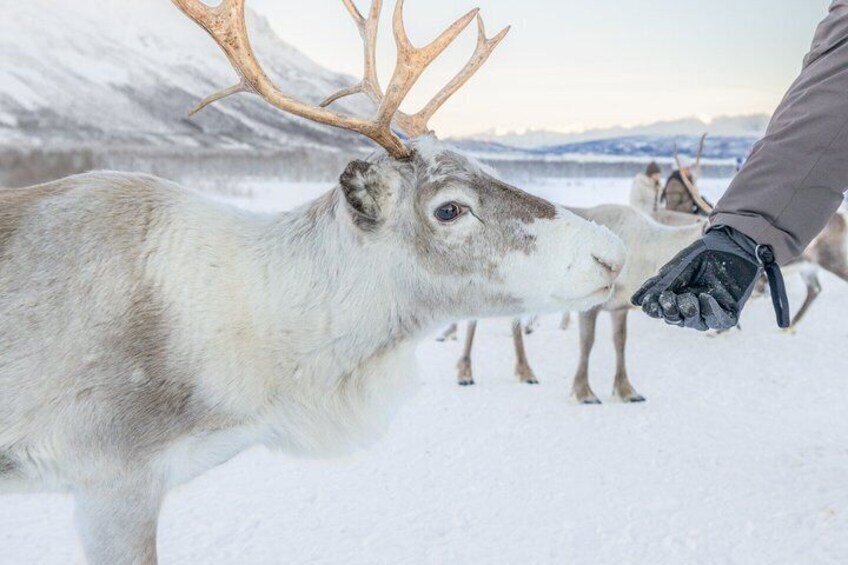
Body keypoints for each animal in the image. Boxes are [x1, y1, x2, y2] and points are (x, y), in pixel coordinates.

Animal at [454, 205, 706, 403]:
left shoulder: (619, 308)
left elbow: (620, 343)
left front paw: (626, 391)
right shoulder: (591, 304)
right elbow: (587, 343)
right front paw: (584, 392)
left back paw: (526, 372)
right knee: (472, 321)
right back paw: (465, 372)